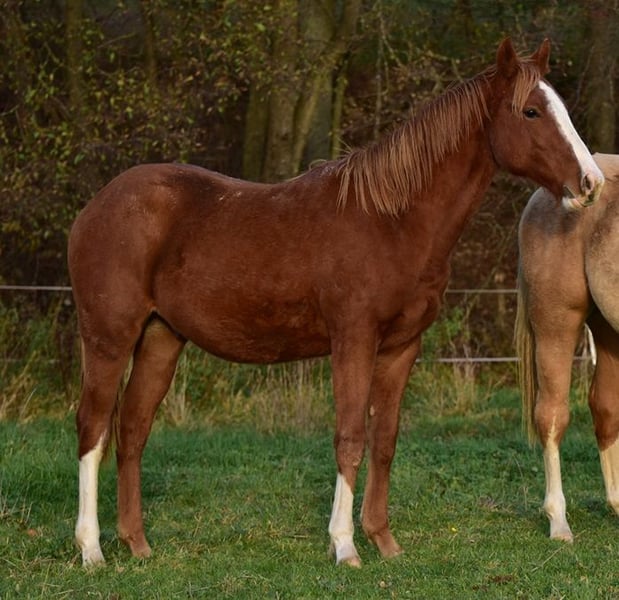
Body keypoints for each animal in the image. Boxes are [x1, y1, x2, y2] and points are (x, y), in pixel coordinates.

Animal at [68, 37, 603, 568]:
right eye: (531, 111)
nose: (591, 183)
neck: (392, 220)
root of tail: (95, 207)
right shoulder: (353, 340)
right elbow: (349, 438)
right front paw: (344, 544)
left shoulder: (400, 348)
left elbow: (383, 441)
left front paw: (383, 540)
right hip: (109, 339)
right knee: (93, 428)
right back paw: (92, 549)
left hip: (161, 337)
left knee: (132, 429)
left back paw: (136, 543)